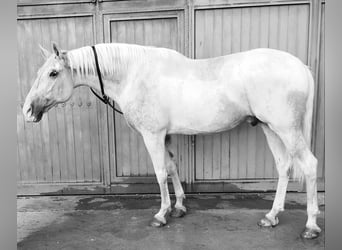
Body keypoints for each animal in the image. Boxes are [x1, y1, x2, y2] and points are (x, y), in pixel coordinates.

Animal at [23, 42, 320, 238]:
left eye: (53, 73)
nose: (27, 110)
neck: (134, 75)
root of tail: (301, 67)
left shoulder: (153, 135)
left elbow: (160, 172)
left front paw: (161, 214)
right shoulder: (165, 135)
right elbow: (173, 167)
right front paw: (178, 207)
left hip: (286, 129)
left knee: (309, 165)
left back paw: (310, 226)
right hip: (270, 128)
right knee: (284, 167)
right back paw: (271, 216)